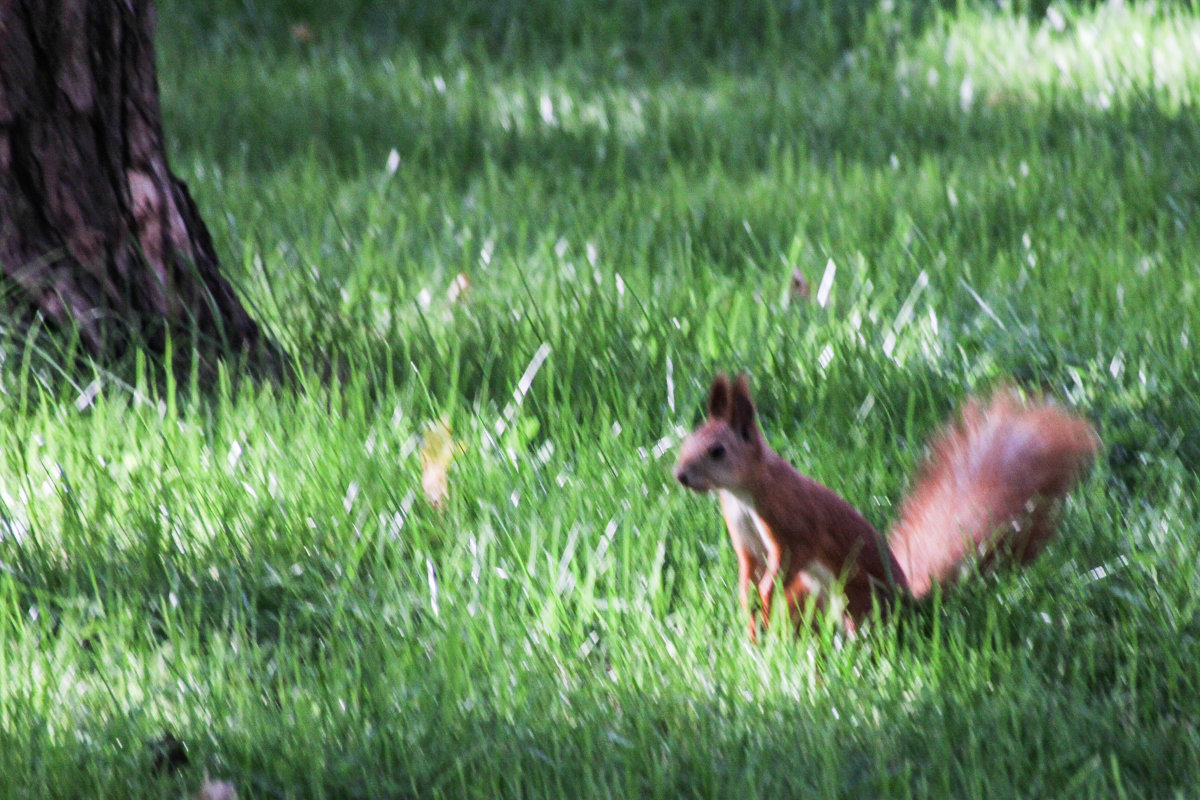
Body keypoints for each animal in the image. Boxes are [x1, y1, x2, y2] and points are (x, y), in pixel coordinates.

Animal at [676, 371, 1099, 642]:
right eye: (686, 441)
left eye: (717, 451)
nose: (680, 475)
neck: (742, 494)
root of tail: (908, 603)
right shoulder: (745, 539)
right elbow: (748, 570)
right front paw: (747, 605)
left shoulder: (792, 524)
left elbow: (784, 561)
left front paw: (763, 597)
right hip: (811, 594)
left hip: (856, 594)